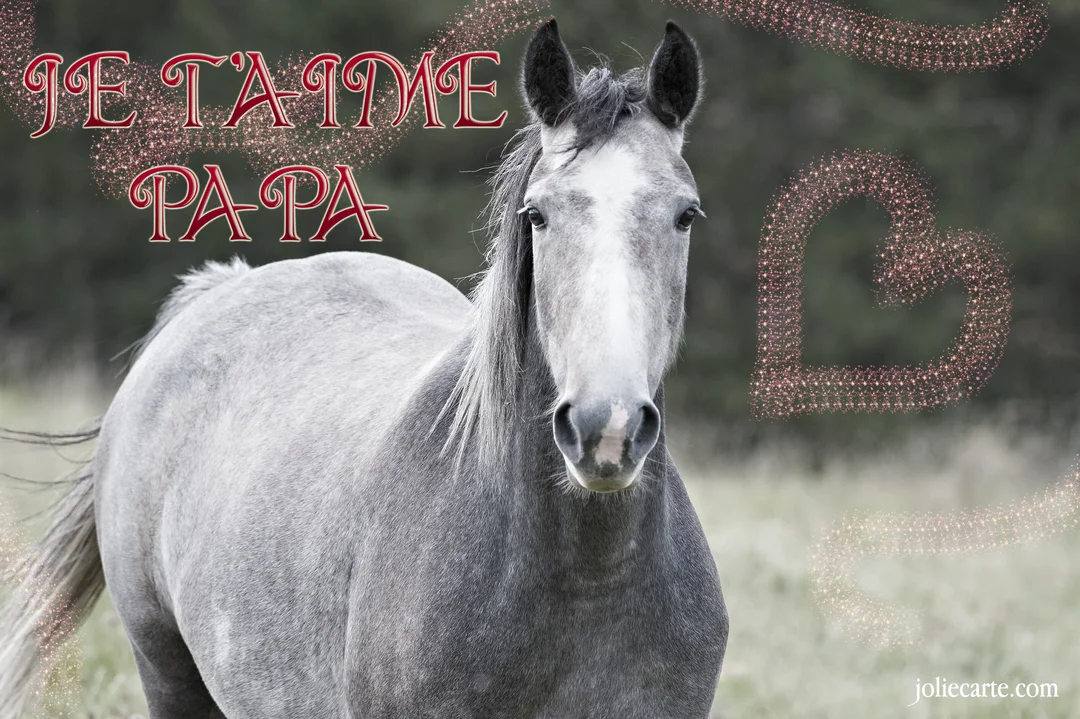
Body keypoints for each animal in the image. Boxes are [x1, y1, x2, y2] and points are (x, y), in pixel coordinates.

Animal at [0, 19, 728, 718]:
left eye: (686, 214)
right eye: (537, 214)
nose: (607, 428)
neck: (583, 580)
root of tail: (220, 289)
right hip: (167, 671)